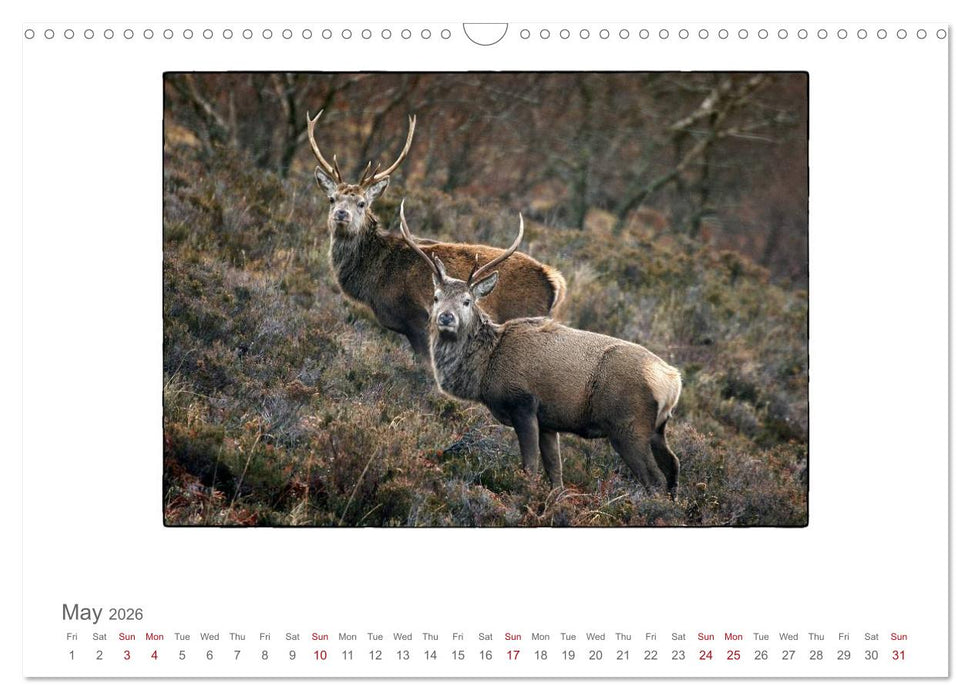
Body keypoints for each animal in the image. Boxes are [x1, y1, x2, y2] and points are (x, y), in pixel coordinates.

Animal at [307, 110, 566, 363]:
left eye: (362, 203)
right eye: (332, 199)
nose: (341, 214)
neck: (376, 276)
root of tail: (555, 281)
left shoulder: (417, 317)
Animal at [398, 201, 683, 499]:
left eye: (467, 301)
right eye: (436, 297)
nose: (445, 317)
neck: (486, 369)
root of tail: (673, 381)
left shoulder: (523, 403)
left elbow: (530, 466)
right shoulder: (548, 421)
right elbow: (555, 472)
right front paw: (554, 500)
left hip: (628, 426)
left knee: (655, 479)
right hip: (657, 428)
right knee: (673, 465)